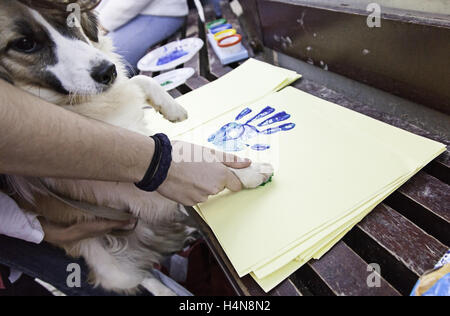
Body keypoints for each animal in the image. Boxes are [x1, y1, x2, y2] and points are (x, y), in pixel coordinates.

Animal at [0, 0, 272, 296]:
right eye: (25, 44)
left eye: (69, 18)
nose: (107, 71)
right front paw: (250, 172)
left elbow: (140, 80)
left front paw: (172, 108)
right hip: (108, 264)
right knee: (143, 277)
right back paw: (165, 289)